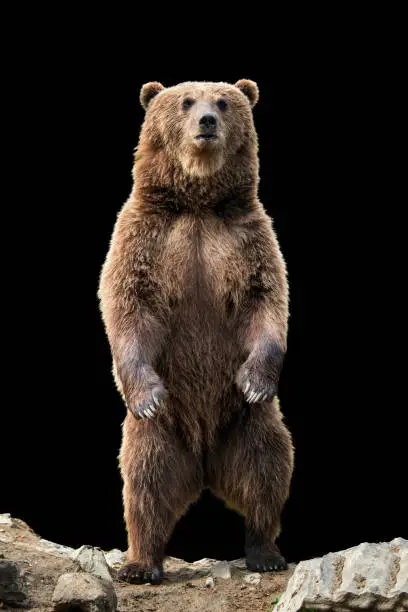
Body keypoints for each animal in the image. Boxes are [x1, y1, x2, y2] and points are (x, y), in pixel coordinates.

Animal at [99, 80, 296, 584]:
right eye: (186, 101)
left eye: (224, 102)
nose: (207, 121)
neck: (198, 204)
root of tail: (205, 464)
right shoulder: (144, 236)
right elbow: (128, 304)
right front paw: (146, 394)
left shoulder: (248, 238)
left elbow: (265, 300)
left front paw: (255, 380)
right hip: (162, 434)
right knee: (144, 483)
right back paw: (141, 563)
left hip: (246, 424)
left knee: (267, 468)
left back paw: (266, 552)